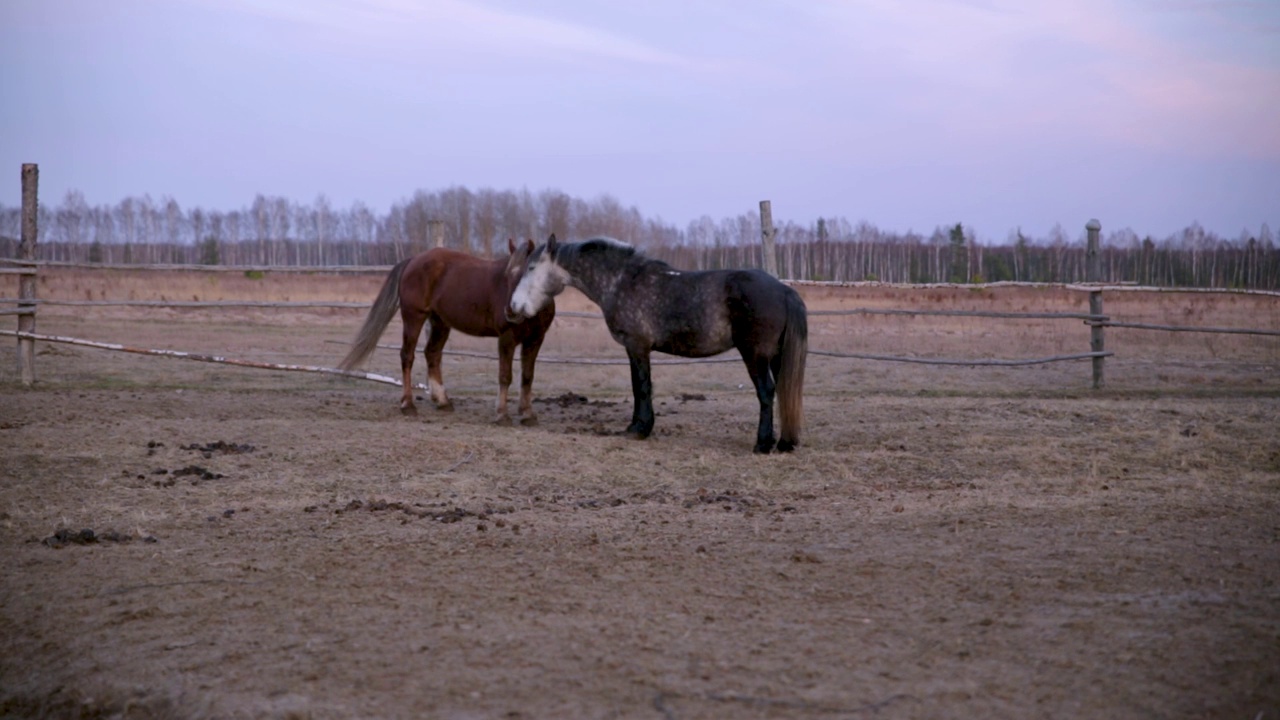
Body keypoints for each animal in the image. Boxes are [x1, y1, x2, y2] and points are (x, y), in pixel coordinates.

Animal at [340, 238, 555, 422]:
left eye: (527, 276)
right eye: (507, 277)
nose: (510, 311)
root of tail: (412, 261)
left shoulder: (536, 339)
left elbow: (527, 377)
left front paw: (528, 415)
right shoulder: (506, 338)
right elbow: (505, 376)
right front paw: (502, 415)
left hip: (440, 323)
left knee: (432, 353)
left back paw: (442, 401)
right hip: (414, 317)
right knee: (407, 355)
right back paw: (408, 404)